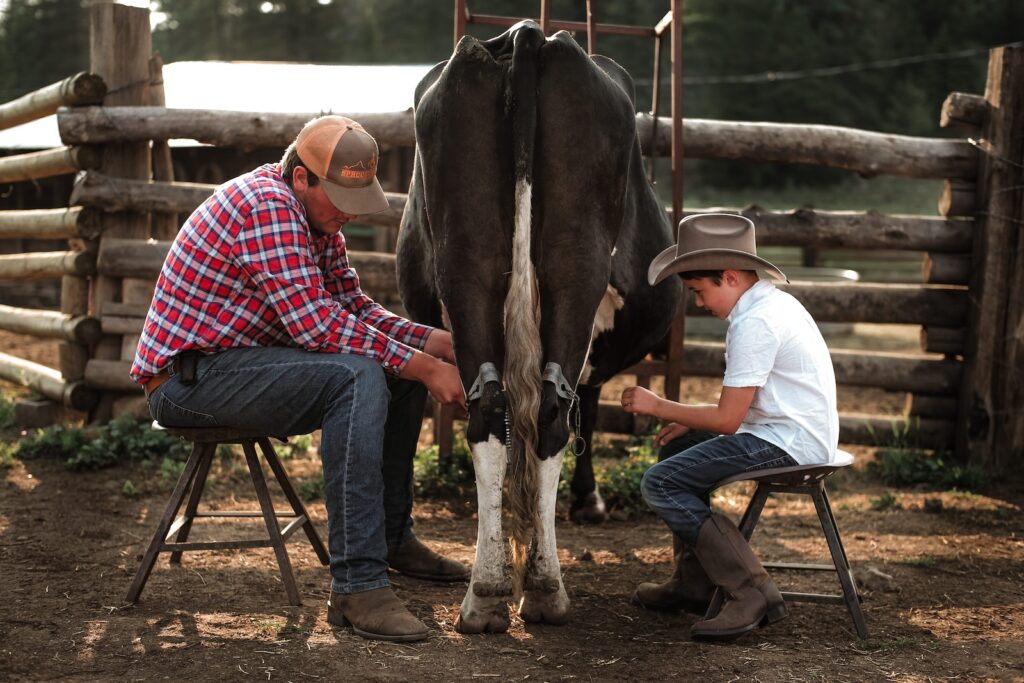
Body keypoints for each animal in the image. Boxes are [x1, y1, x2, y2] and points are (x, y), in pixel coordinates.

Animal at [396, 20, 681, 633]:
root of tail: (527, 34)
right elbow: (587, 411)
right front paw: (588, 502)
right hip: (576, 266)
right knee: (551, 417)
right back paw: (544, 588)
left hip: (469, 258)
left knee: (495, 418)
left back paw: (487, 591)